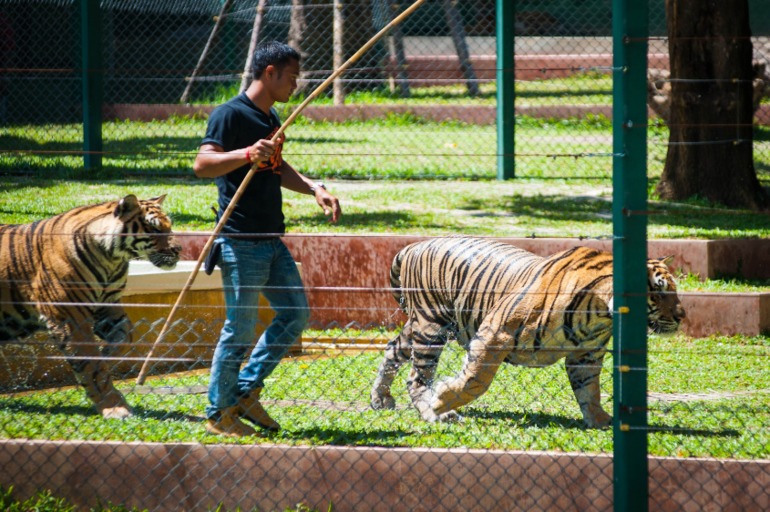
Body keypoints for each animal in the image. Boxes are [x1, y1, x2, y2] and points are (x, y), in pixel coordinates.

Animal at [0, 195, 181, 419]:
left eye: (169, 226)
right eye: (154, 229)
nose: (179, 249)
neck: (113, 258)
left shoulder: (109, 306)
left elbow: (125, 337)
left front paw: (106, 356)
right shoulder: (70, 317)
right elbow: (91, 365)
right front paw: (114, 407)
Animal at [370, 237, 685, 428]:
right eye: (658, 292)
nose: (682, 317)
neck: (598, 314)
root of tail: (414, 245)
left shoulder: (585, 355)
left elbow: (590, 391)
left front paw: (600, 421)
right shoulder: (495, 334)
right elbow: (476, 379)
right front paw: (443, 398)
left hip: (420, 327)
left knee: (392, 350)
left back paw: (380, 399)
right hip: (431, 327)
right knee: (416, 376)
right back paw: (432, 410)